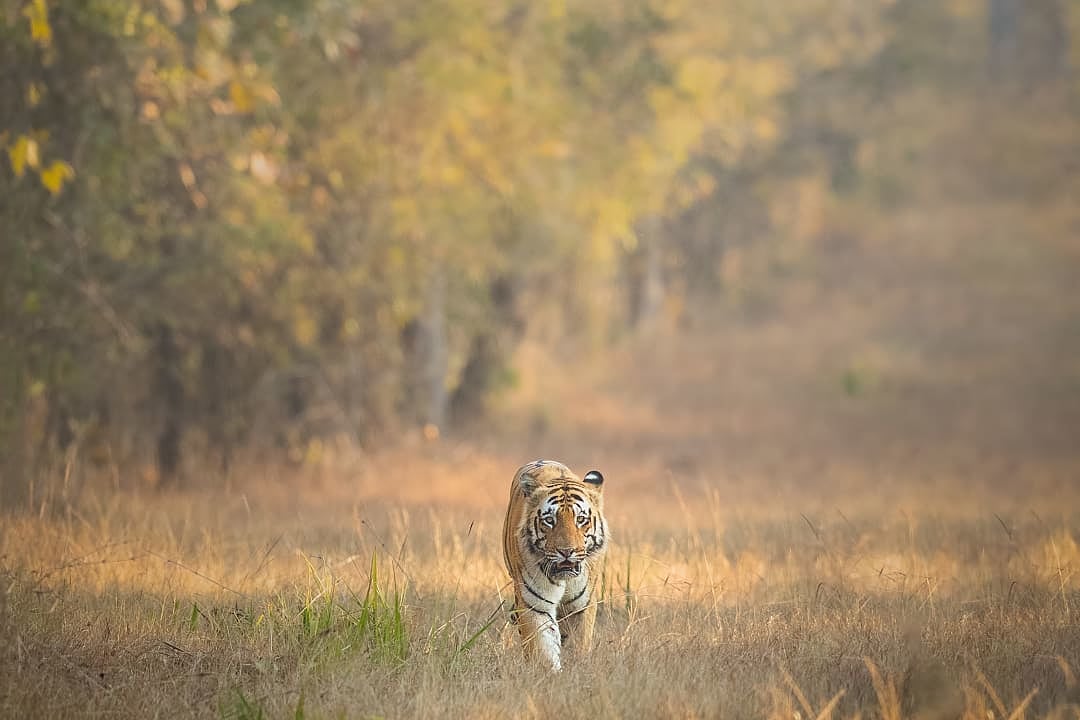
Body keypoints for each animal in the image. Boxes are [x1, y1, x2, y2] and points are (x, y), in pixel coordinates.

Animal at [501, 459, 608, 671]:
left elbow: (578, 643)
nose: (566, 551)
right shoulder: (535, 604)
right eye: (549, 520)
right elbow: (543, 647)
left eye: (580, 519)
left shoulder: (580, 606)